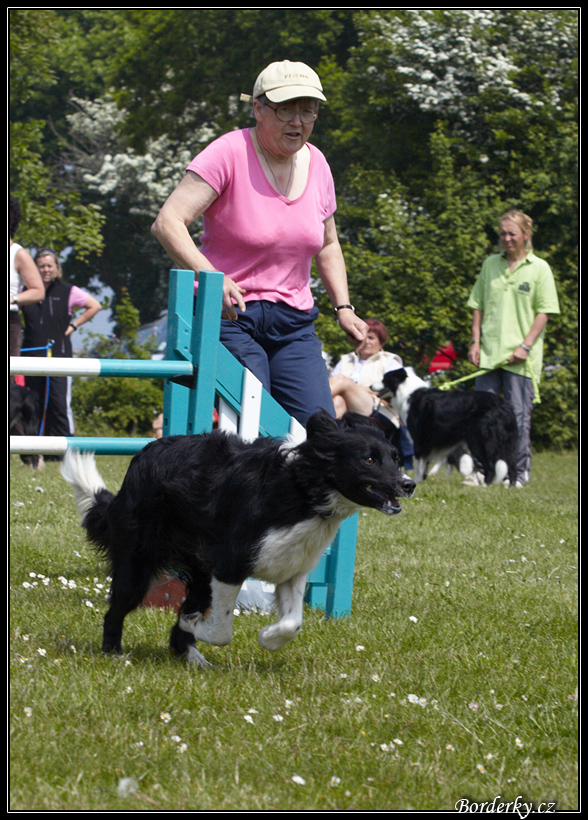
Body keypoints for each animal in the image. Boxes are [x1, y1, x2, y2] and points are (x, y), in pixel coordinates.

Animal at [60, 410, 414, 668]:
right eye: (369, 459)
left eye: (396, 459)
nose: (408, 484)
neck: (304, 490)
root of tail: (142, 456)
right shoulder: (229, 565)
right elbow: (221, 631)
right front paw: (195, 627)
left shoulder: (291, 568)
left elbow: (293, 622)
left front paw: (269, 637)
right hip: (138, 562)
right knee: (116, 609)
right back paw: (115, 653)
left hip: (198, 572)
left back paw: (193, 658)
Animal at [374, 366, 516, 486]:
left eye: (384, 378)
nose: (371, 385)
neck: (408, 392)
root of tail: (503, 404)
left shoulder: (420, 440)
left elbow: (420, 464)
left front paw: (417, 481)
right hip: (506, 442)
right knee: (511, 465)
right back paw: (510, 486)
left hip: (478, 439)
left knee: (489, 467)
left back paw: (483, 485)